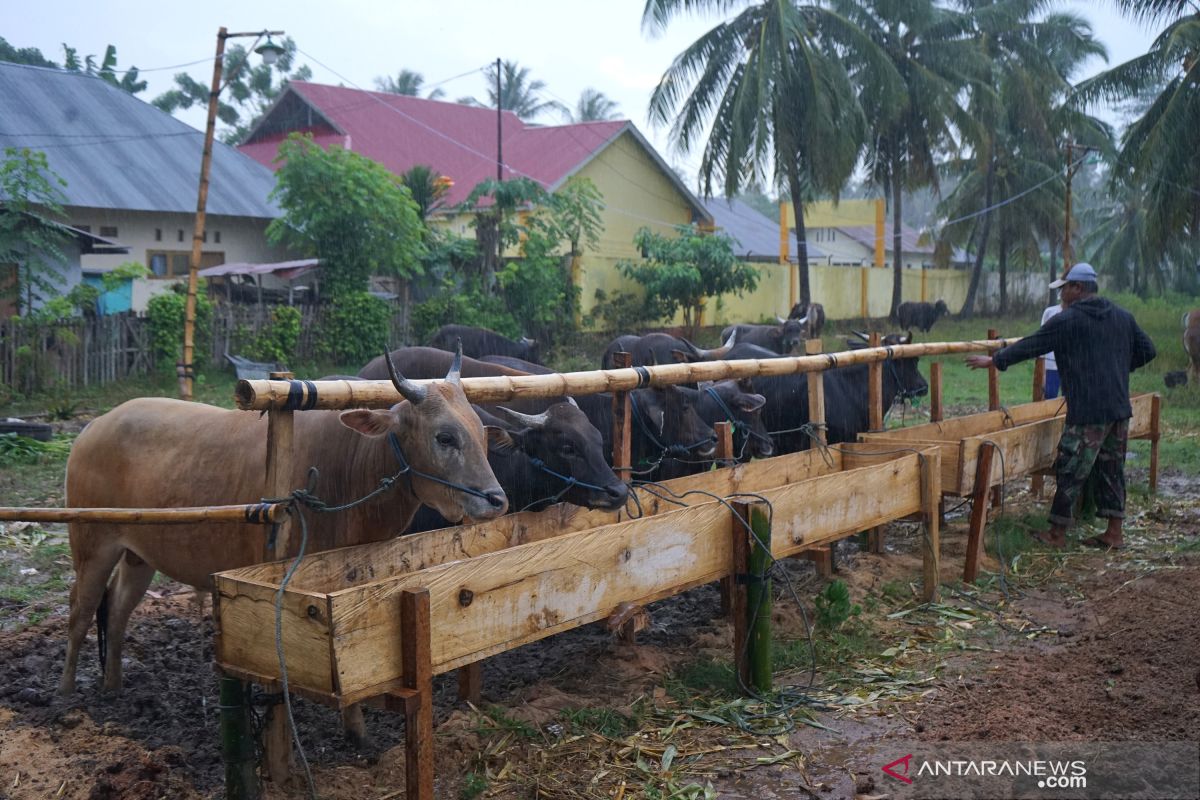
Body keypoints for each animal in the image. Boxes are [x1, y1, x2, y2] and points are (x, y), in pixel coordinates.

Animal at [59, 350, 506, 695]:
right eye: (445, 437)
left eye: (482, 434)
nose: (496, 500)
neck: (348, 466)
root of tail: (93, 427)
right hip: (92, 545)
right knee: (80, 612)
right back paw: (66, 695)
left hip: (138, 555)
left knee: (117, 610)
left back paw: (113, 685)